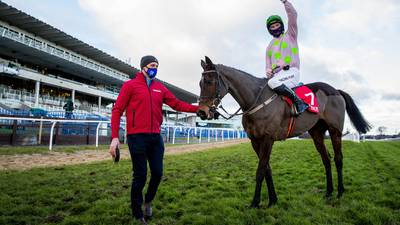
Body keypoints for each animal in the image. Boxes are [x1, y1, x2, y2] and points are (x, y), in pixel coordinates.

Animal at [198, 56, 370, 207]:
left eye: (209, 81)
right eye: (200, 83)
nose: (201, 112)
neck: (256, 100)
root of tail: (336, 90)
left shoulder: (267, 139)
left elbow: (260, 171)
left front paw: (255, 203)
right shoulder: (255, 141)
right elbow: (267, 169)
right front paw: (272, 200)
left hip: (335, 131)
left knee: (338, 158)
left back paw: (340, 191)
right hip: (316, 133)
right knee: (326, 159)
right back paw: (328, 192)